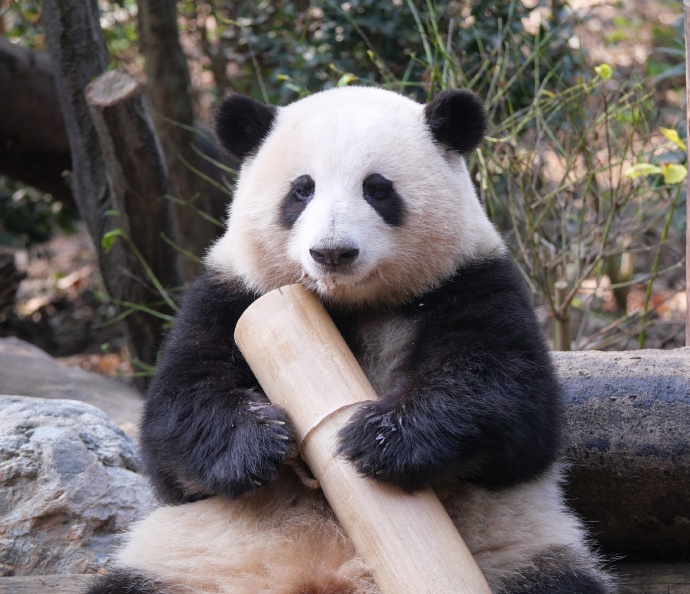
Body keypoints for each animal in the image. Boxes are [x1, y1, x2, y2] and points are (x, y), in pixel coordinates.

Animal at [86, 87, 616, 594]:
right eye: (301, 191)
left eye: (377, 189)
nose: (332, 253)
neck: (350, 306)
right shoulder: (234, 294)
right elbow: (174, 419)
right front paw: (257, 441)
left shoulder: (472, 280)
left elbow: (512, 400)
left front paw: (380, 438)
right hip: (190, 561)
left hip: (519, 553)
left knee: (562, 581)